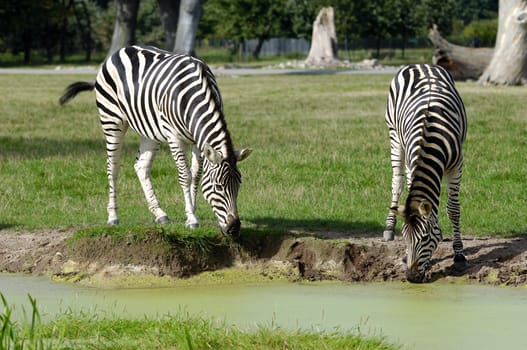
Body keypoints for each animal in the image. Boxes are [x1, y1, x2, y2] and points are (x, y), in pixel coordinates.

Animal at [58, 45, 253, 237]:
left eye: (239, 184)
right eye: (218, 187)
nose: (234, 229)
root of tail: (119, 51)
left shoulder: (198, 140)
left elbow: (197, 175)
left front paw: (191, 210)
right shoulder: (174, 137)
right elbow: (185, 176)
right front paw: (191, 218)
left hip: (149, 131)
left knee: (140, 167)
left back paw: (160, 214)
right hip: (111, 120)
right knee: (112, 168)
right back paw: (113, 216)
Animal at [384, 63, 466, 282]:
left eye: (426, 237)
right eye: (404, 236)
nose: (411, 277)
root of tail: (420, 64)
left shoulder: (457, 165)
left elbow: (453, 209)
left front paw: (459, 253)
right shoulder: (411, 162)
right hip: (394, 135)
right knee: (397, 182)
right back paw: (388, 227)